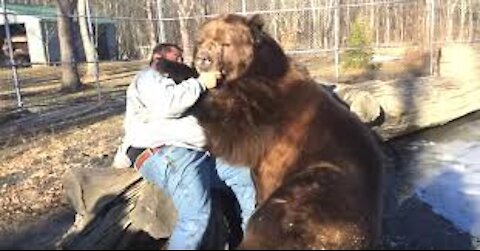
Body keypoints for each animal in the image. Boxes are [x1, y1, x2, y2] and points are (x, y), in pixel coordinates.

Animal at [190, 14, 382, 250]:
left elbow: (229, 128)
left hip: (322, 189)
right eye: (201, 40)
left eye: (224, 43)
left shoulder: (268, 113)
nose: (203, 58)